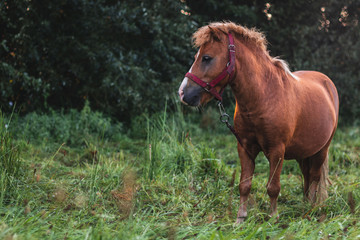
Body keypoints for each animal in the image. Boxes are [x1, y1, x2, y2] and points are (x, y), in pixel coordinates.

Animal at [179, 22, 338, 223]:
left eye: (207, 58)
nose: (183, 93)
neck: (263, 96)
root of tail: (327, 83)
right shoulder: (245, 148)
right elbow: (244, 185)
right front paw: (240, 219)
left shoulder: (277, 151)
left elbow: (273, 187)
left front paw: (273, 218)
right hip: (304, 151)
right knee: (307, 176)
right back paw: (305, 206)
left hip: (322, 150)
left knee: (315, 177)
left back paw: (312, 209)